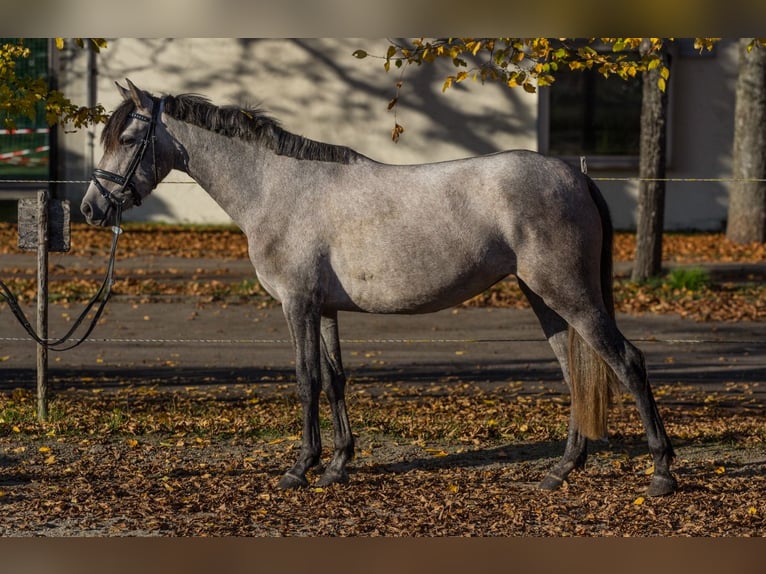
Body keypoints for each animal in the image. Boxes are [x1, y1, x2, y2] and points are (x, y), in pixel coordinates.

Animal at [79, 81, 680, 500]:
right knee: (573, 373)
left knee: (627, 361)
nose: (91, 208)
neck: (278, 187)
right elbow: (336, 379)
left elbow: (306, 380)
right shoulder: (324, 309)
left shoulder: (297, 304)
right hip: (545, 299)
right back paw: (561, 470)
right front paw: (338, 465)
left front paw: (300, 468)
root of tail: (573, 174)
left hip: (568, 294)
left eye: (127, 139)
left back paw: (661, 473)